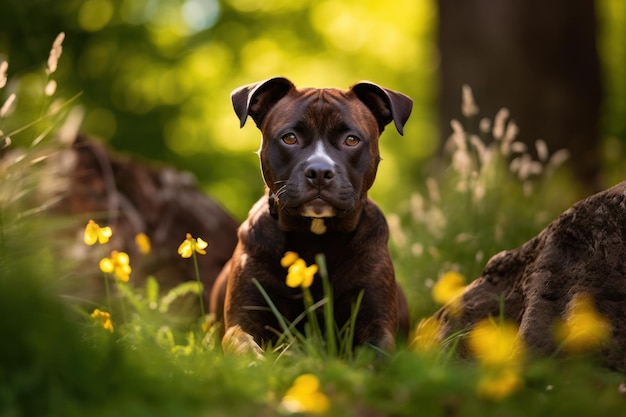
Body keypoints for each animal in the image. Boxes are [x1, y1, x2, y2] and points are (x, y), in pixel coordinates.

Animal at [210, 77, 412, 354]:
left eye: (351, 140)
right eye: (289, 138)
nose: (319, 171)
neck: (316, 235)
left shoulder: (377, 322)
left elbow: (374, 354)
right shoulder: (242, 320)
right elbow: (244, 348)